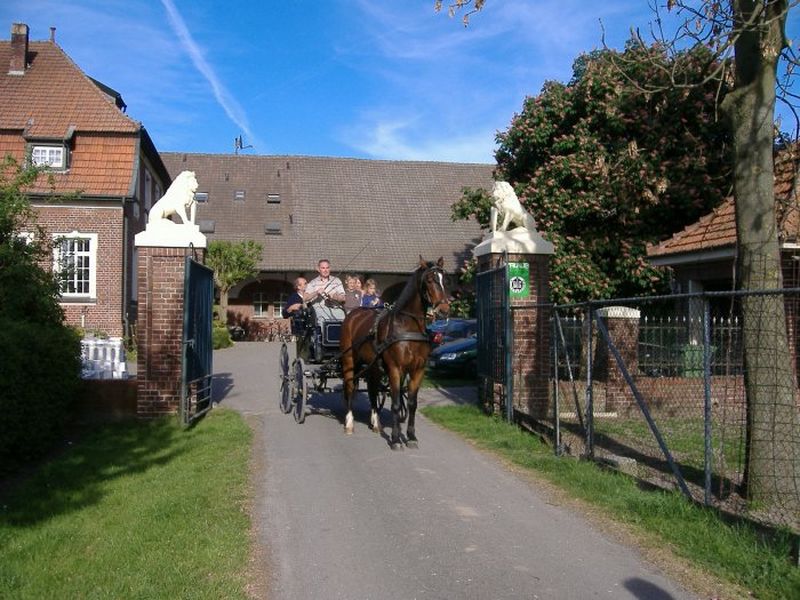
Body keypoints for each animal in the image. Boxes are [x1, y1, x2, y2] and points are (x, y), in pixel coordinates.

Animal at [340, 255, 450, 448]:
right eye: (430, 280)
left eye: (444, 279)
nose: (444, 310)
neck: (408, 326)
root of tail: (353, 315)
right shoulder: (395, 369)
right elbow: (397, 403)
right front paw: (396, 438)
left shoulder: (418, 370)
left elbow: (412, 403)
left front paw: (411, 436)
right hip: (349, 361)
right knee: (350, 387)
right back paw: (349, 423)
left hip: (373, 367)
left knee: (372, 390)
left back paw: (376, 423)